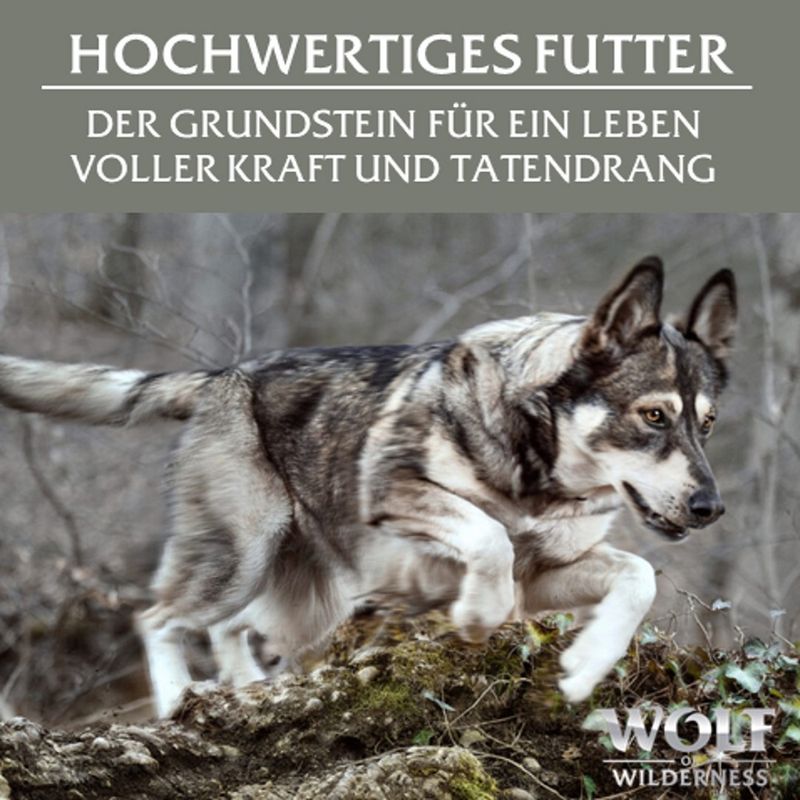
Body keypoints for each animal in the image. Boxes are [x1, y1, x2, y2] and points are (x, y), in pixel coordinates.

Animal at [0, 257, 736, 716]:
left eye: (706, 423)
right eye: (653, 416)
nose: (711, 507)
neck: (538, 468)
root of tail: (220, 377)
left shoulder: (550, 573)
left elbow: (637, 577)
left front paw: (585, 666)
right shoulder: (399, 495)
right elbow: (489, 537)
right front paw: (478, 614)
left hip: (299, 594)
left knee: (228, 628)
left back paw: (246, 688)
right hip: (241, 558)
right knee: (157, 619)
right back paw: (181, 699)